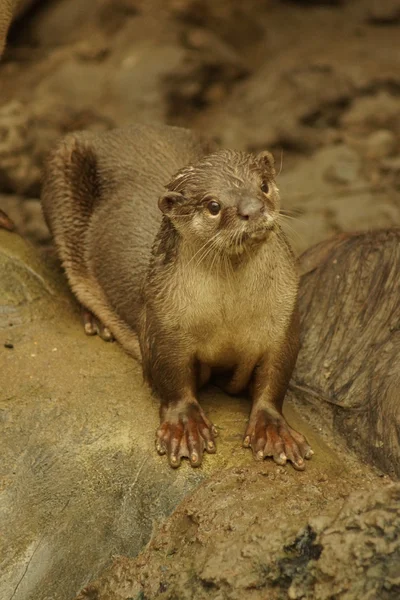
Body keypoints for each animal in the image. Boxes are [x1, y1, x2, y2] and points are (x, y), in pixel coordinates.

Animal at [41, 122, 312, 468]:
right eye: (213, 206)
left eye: (263, 186)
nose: (252, 209)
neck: (228, 317)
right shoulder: (163, 319)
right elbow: (171, 376)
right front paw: (186, 426)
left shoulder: (284, 317)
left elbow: (275, 377)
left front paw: (275, 430)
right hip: (62, 169)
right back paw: (97, 322)